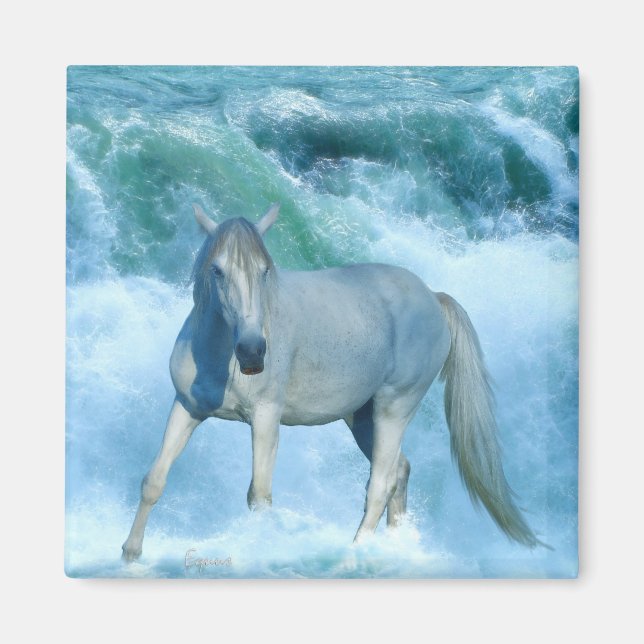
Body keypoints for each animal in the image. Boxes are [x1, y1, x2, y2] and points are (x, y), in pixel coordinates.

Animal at [122, 203, 540, 562]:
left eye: (264, 270)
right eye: (217, 270)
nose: (253, 352)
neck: (218, 355)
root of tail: (434, 298)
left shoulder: (265, 420)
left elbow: (260, 496)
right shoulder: (186, 408)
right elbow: (154, 480)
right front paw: (130, 553)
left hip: (394, 408)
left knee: (380, 485)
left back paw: (352, 559)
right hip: (362, 418)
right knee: (400, 472)